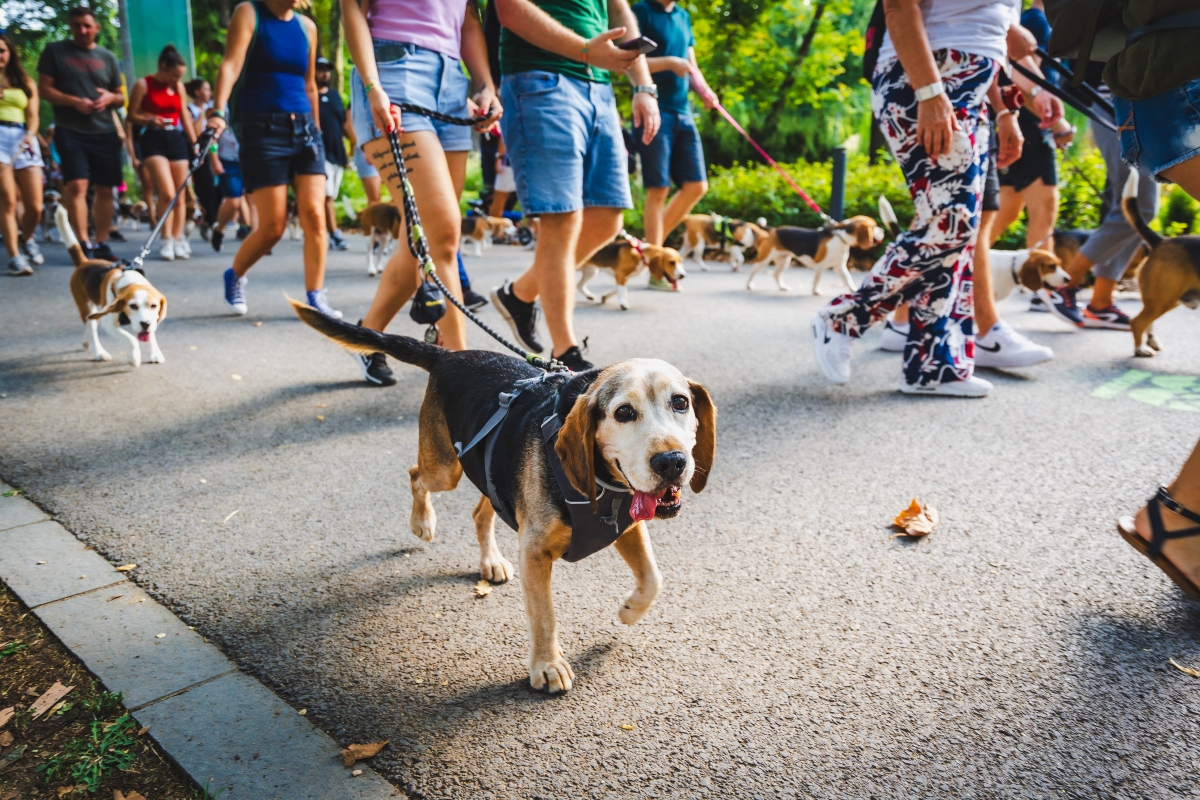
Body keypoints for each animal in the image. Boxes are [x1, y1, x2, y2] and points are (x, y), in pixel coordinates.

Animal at [60, 206, 169, 369]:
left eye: (154, 306)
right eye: (133, 306)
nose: (145, 324)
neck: (130, 282)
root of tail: (84, 263)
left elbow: (151, 335)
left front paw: (155, 353)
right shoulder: (110, 324)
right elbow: (132, 339)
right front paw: (134, 358)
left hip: (97, 310)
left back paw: (86, 342)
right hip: (86, 307)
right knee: (92, 328)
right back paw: (99, 352)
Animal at [291, 307, 715, 695]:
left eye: (680, 402)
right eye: (623, 412)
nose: (672, 462)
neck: (605, 488)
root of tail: (449, 356)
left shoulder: (626, 527)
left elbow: (653, 578)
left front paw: (629, 611)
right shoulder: (534, 552)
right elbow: (544, 616)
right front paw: (547, 667)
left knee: (480, 513)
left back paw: (490, 562)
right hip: (445, 468)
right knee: (416, 475)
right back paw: (422, 522)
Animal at [744, 215, 888, 293]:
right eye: (874, 226)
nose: (883, 231)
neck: (841, 238)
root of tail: (773, 230)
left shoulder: (839, 266)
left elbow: (847, 278)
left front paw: (853, 289)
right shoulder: (820, 265)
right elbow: (817, 279)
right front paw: (816, 291)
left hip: (784, 260)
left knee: (775, 274)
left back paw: (782, 287)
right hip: (764, 259)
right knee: (753, 271)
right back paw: (749, 285)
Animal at [1123, 173, 1200, 357]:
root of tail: (1161, 241)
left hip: (1165, 299)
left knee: (1146, 320)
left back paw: (1151, 341)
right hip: (1163, 298)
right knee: (1137, 322)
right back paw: (1140, 349)